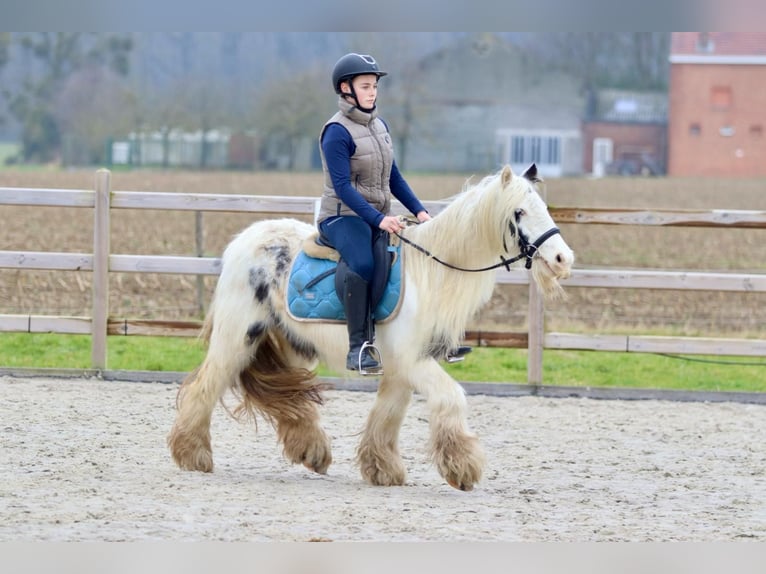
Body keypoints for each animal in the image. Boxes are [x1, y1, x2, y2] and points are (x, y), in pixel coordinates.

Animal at [170, 164, 576, 492]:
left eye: (543, 208)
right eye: (519, 211)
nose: (563, 259)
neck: (430, 274)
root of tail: (244, 241)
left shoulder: (399, 368)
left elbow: (388, 414)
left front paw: (381, 468)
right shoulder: (414, 362)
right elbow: (451, 398)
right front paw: (462, 468)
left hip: (292, 345)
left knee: (292, 401)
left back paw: (312, 451)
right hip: (238, 337)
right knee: (205, 386)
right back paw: (192, 454)